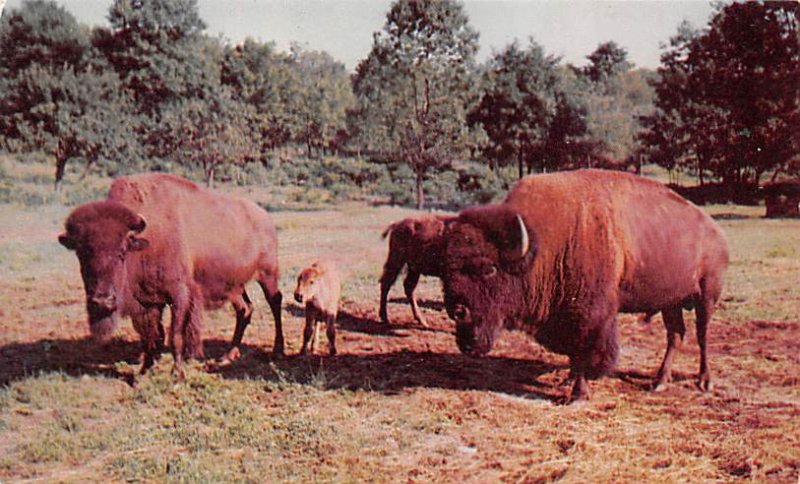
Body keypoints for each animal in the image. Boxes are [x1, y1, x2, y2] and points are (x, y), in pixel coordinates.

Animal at [57, 172, 282, 376]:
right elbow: (150, 336)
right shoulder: (147, 301)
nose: (102, 301)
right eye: (81, 254)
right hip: (235, 286)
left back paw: (277, 351)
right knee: (244, 309)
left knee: (274, 301)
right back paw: (228, 355)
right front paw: (144, 371)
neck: (146, 242)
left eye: (121, 253)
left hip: (267, 274)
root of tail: (265, 218)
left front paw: (177, 373)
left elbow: (175, 335)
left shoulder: (179, 295)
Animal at [444, 168, 732, 402]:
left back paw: (704, 381)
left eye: (489, 268)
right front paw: (569, 379)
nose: (458, 310)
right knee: (676, 334)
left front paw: (578, 393)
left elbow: (584, 351)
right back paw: (659, 381)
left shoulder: (590, 317)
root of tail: (717, 232)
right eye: (447, 270)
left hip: (706, 296)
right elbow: (573, 354)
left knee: (702, 335)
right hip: (670, 302)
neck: (543, 244)